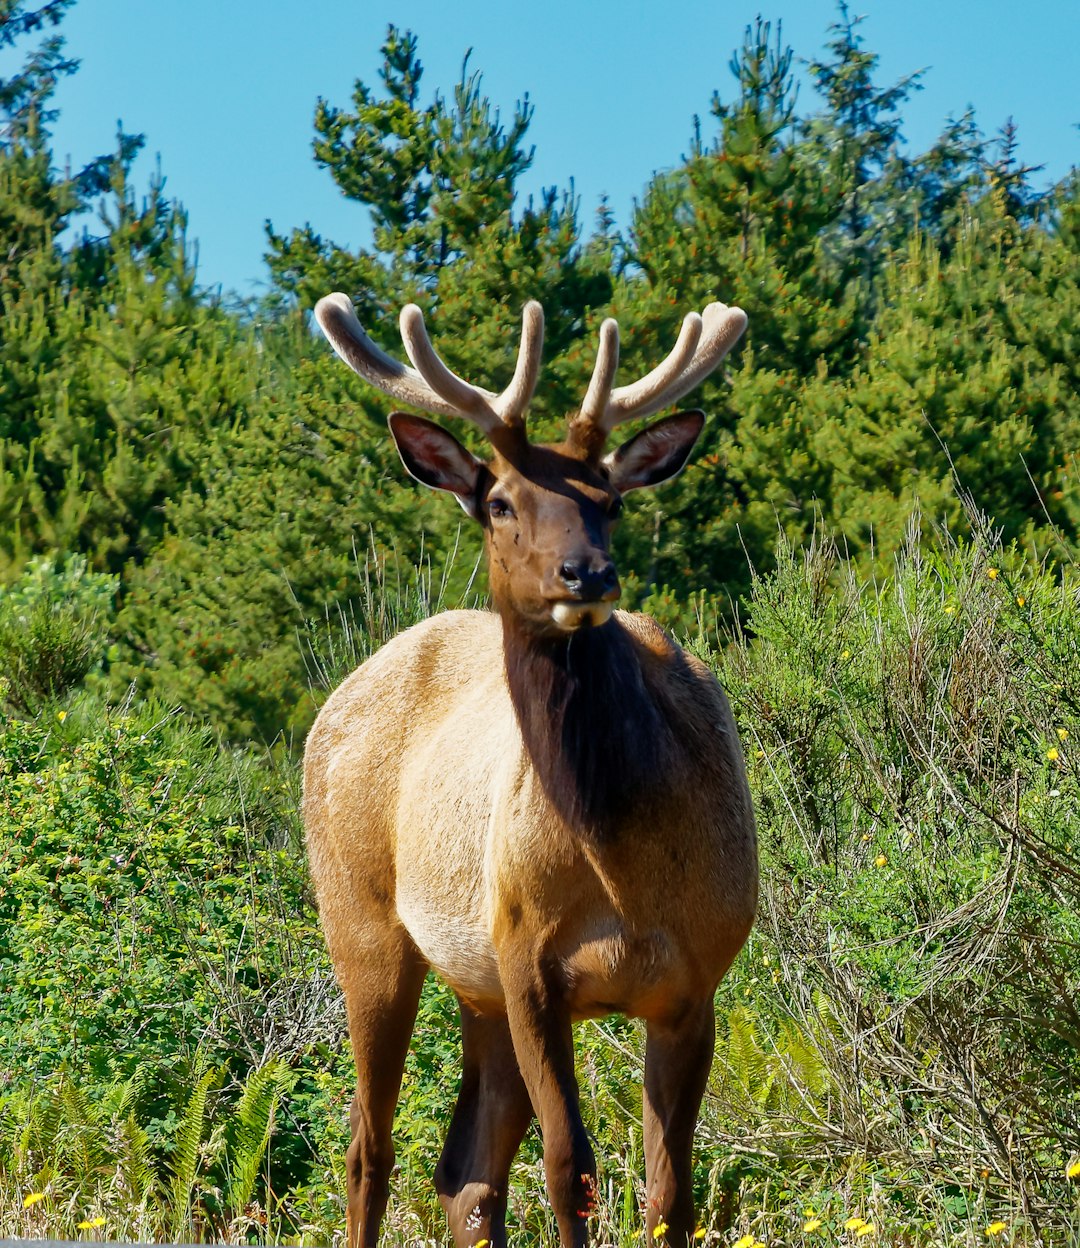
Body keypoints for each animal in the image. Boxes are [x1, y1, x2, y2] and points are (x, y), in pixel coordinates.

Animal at [303, 289, 759, 1248]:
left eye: (610, 501)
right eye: (503, 503)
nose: (586, 572)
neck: (621, 859)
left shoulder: (696, 979)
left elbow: (672, 1191)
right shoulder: (531, 963)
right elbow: (569, 1169)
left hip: (476, 990)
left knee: (464, 1171)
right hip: (364, 923)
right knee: (368, 1150)